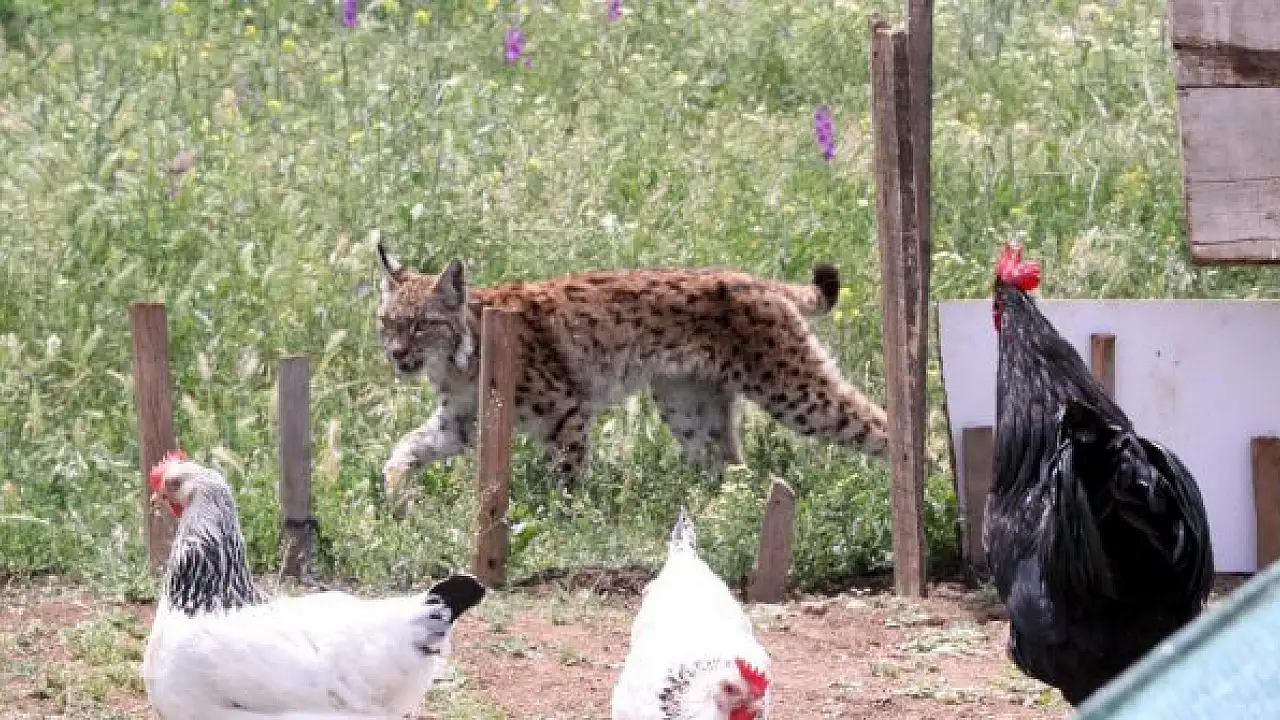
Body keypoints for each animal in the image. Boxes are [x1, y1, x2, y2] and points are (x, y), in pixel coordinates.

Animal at [374, 242, 889, 498]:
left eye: (422, 325)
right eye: (387, 323)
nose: (397, 355)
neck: (459, 356)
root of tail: (751, 278)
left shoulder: (566, 408)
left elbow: (566, 472)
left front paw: (563, 520)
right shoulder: (460, 420)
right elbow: (402, 449)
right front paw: (398, 500)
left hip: (790, 387)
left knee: (877, 420)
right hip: (685, 402)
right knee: (731, 467)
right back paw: (720, 516)